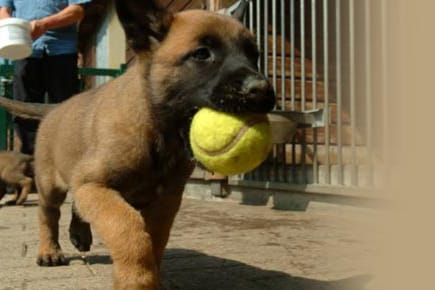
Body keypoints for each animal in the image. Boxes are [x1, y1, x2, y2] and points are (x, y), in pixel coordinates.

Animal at [0, 1, 276, 288]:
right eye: (202, 54)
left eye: (254, 54)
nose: (262, 90)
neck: (157, 131)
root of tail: (54, 108)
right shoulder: (97, 187)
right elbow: (129, 229)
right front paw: (137, 279)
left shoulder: (165, 201)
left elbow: (155, 241)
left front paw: (152, 276)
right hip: (50, 185)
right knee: (48, 215)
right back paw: (49, 250)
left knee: (76, 206)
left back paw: (79, 235)